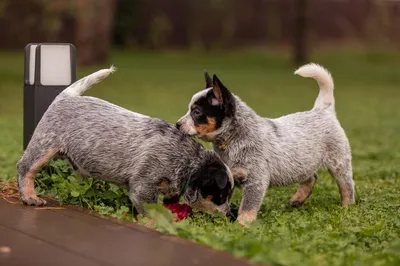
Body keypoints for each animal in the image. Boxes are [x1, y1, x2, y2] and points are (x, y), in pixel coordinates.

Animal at [16, 67, 234, 218]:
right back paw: (30, 197)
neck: (189, 160)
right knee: (25, 167)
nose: (229, 216)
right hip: (44, 145)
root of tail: (66, 96)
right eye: (221, 196)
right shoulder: (144, 186)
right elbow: (151, 210)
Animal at [178, 63, 356, 225]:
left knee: (347, 187)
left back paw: (347, 208)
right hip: (302, 163)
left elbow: (247, 207)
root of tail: (323, 110)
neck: (233, 139)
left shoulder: (256, 180)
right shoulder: (228, 177)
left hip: (339, 163)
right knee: (311, 177)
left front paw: (241, 225)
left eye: (197, 112)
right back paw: (296, 200)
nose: (177, 124)